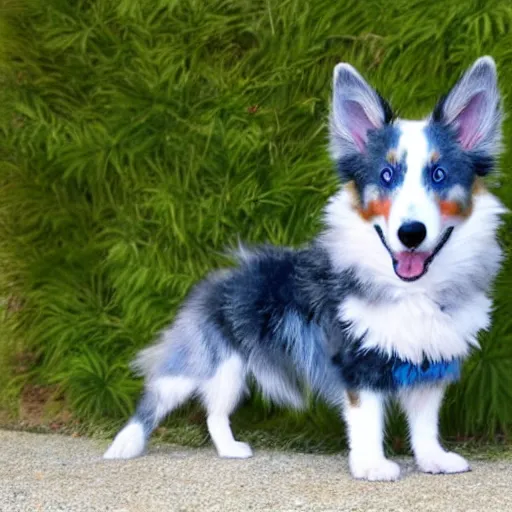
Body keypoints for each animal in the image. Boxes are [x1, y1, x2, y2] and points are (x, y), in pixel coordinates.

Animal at [103, 58, 504, 482]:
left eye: (439, 175)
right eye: (386, 176)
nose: (411, 233)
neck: (410, 288)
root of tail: (216, 279)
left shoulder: (428, 362)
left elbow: (425, 423)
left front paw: (433, 460)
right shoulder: (355, 363)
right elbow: (367, 421)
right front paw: (371, 466)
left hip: (231, 370)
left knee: (214, 412)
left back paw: (230, 450)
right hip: (205, 359)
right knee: (158, 394)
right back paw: (123, 446)